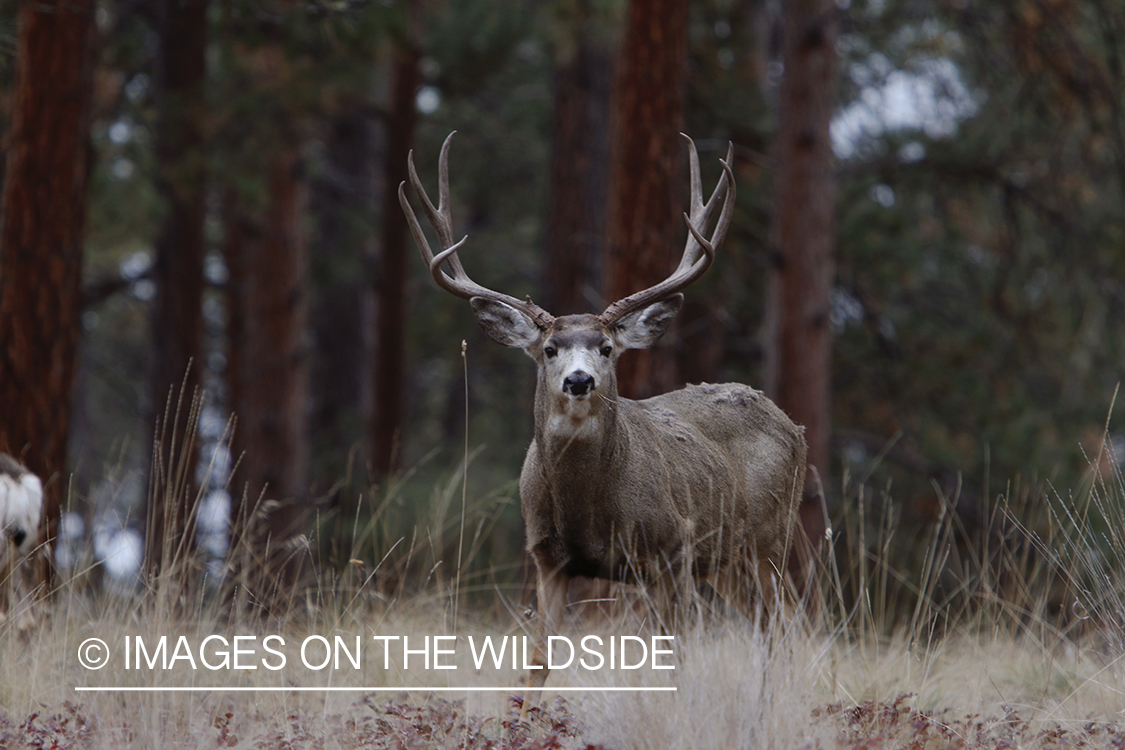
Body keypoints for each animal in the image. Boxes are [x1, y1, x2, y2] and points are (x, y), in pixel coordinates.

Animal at [399, 132, 807, 704]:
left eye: (607, 348)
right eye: (549, 349)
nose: (578, 380)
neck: (590, 512)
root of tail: (789, 421)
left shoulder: (672, 549)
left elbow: (674, 661)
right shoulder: (548, 558)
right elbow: (539, 663)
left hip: (771, 537)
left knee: (787, 625)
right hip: (731, 561)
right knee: (769, 627)